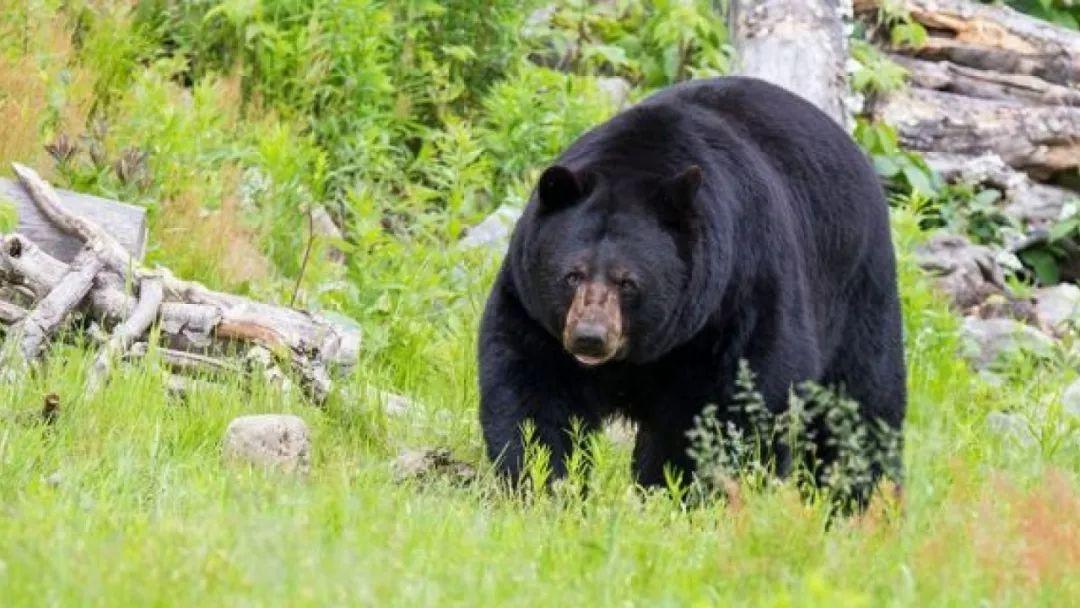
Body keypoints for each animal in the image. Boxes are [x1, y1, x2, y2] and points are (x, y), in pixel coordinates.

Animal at [477, 75, 907, 505]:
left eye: (628, 282)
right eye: (572, 275)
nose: (590, 338)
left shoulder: (740, 295)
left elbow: (739, 402)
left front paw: (686, 491)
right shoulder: (533, 307)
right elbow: (532, 388)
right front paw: (544, 482)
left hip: (857, 290)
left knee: (861, 406)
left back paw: (861, 499)